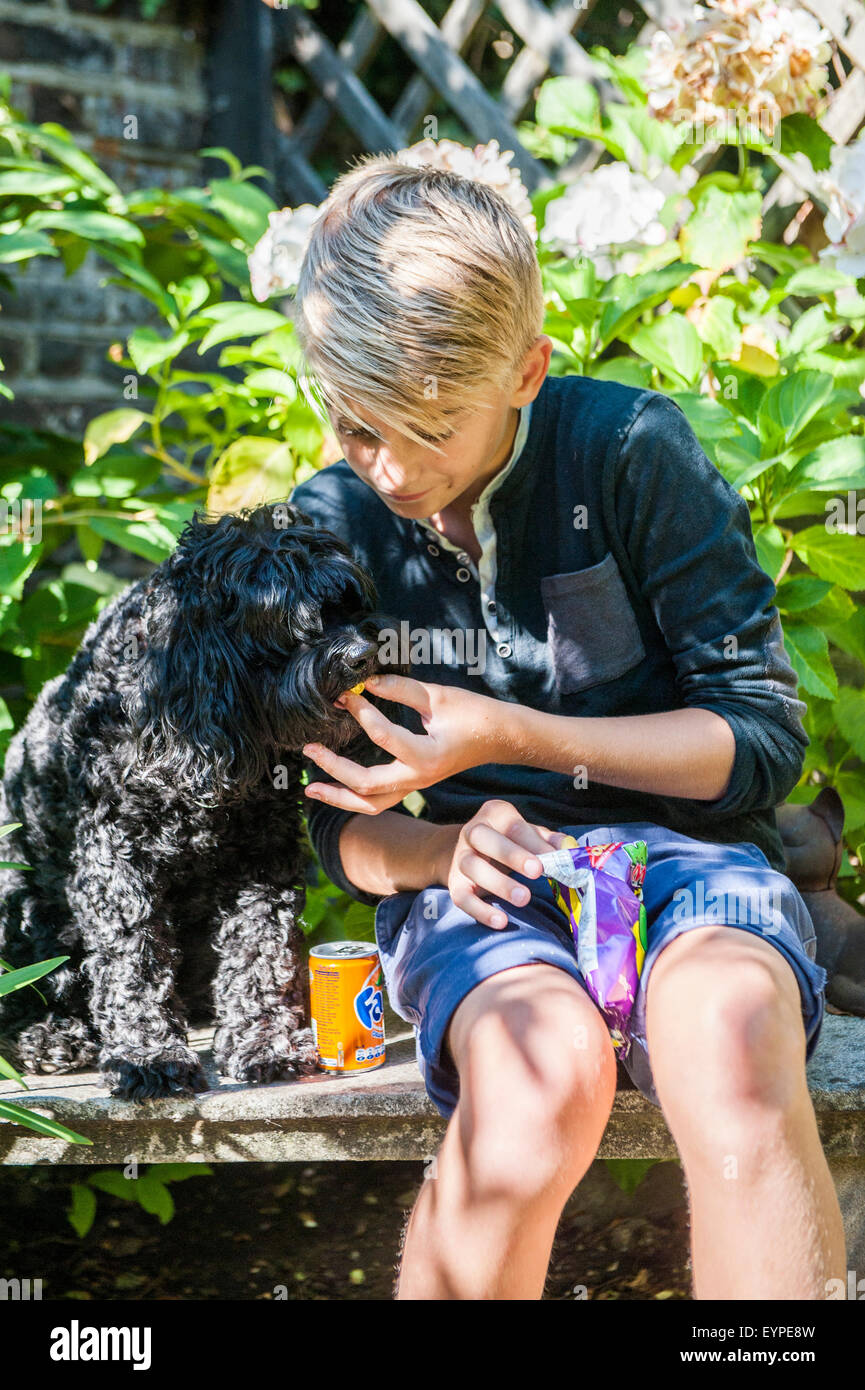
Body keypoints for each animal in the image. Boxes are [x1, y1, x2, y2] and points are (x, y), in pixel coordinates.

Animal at [0, 505, 397, 1100]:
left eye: (349, 604)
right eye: (290, 621)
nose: (364, 654)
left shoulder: (262, 858)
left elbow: (259, 951)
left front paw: (265, 1044)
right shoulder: (117, 865)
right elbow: (132, 963)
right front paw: (148, 1059)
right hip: (20, 905)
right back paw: (50, 1036)